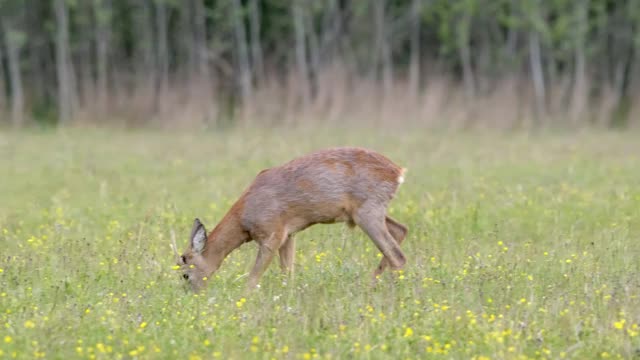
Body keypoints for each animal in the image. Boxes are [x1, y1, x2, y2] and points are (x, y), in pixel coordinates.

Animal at [172, 148, 408, 292]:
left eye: (185, 274)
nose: (189, 296)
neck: (244, 218)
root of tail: (398, 172)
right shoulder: (289, 235)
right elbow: (288, 274)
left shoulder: (272, 235)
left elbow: (253, 277)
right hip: (366, 213)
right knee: (401, 230)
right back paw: (371, 285)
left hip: (368, 213)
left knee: (397, 255)